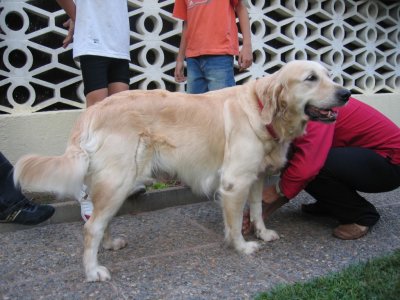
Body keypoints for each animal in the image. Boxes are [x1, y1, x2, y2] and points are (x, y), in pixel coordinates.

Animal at [13, 60, 350, 282]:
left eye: (330, 76)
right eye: (311, 78)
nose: (346, 93)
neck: (261, 110)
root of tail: (93, 110)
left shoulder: (256, 177)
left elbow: (256, 209)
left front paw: (263, 232)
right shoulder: (234, 182)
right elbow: (234, 222)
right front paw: (242, 246)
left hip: (112, 183)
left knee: (98, 221)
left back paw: (109, 244)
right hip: (119, 180)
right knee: (91, 227)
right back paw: (93, 270)